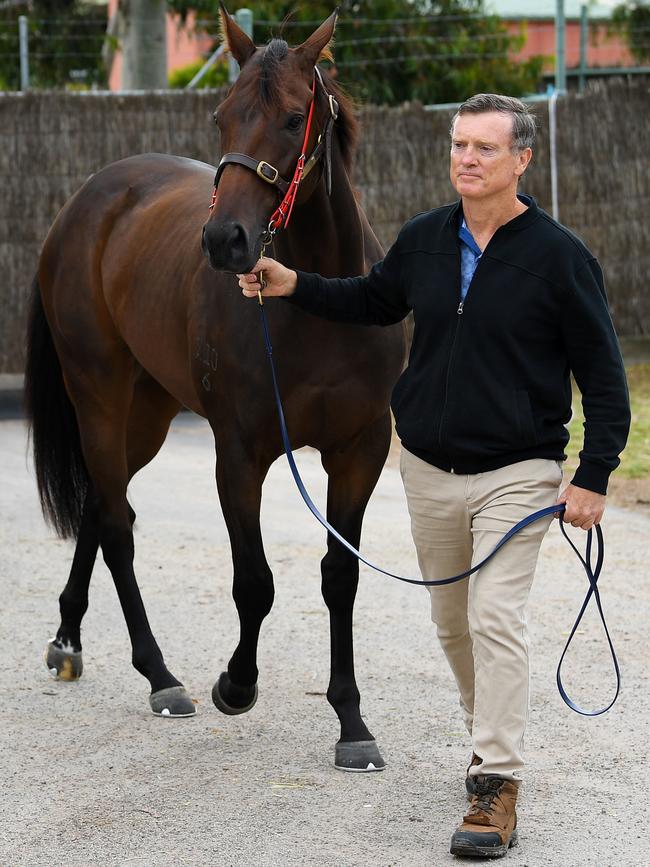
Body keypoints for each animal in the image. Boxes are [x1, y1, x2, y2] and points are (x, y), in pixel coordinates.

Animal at [24, 5, 404, 768]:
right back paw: (159, 675)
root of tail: (86, 201)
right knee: (116, 525)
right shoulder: (241, 453)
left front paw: (352, 721)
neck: (320, 302)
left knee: (99, 506)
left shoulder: (361, 450)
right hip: (100, 396)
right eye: (222, 116)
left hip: (147, 414)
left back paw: (69, 638)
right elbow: (254, 582)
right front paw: (236, 682)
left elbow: (341, 577)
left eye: (294, 117)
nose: (225, 240)